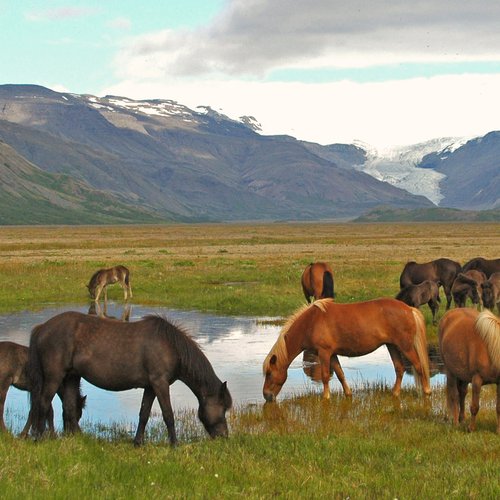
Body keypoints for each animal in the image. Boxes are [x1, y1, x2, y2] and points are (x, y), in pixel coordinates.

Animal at [30, 312, 233, 446]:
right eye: (223, 408)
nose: (224, 437)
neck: (170, 346)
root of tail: (42, 328)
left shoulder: (151, 387)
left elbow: (144, 413)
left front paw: (138, 442)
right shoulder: (160, 383)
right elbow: (168, 415)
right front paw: (174, 445)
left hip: (72, 376)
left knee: (69, 408)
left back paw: (80, 439)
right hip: (55, 376)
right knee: (43, 403)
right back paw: (39, 438)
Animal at [262, 296, 430, 402]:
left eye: (269, 373)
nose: (266, 396)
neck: (311, 322)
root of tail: (409, 309)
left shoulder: (324, 353)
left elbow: (325, 376)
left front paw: (326, 398)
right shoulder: (332, 354)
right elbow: (340, 374)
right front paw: (348, 394)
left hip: (405, 346)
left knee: (419, 366)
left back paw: (427, 392)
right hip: (392, 346)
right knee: (399, 368)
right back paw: (395, 393)